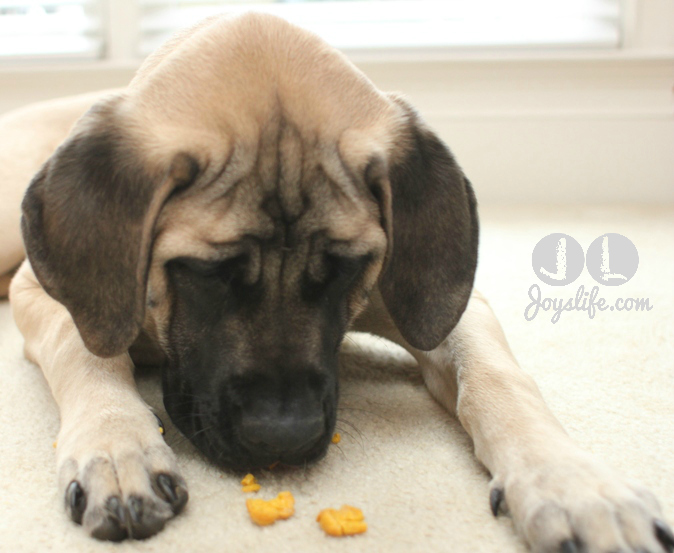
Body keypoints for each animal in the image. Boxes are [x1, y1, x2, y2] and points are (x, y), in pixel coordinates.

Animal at [0, 10, 668, 548]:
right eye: (206, 273)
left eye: (347, 266)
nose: (282, 438)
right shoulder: (51, 294)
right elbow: (89, 354)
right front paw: (116, 449)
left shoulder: (442, 300)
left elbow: (499, 379)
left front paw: (575, 485)